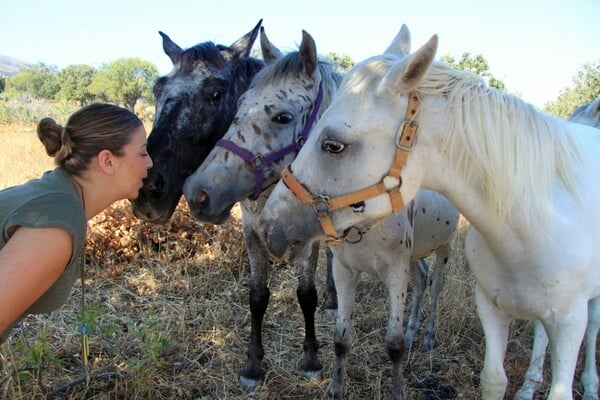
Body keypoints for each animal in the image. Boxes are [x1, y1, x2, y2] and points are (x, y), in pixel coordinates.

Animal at [183, 26, 460, 398]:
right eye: (238, 106)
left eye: (282, 117)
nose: (197, 193)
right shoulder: (258, 236)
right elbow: (259, 296)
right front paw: (253, 366)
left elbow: (308, 295)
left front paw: (310, 360)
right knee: (423, 278)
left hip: (444, 249)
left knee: (435, 286)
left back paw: (427, 335)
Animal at [262, 28, 600, 400]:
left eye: (333, 145)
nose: (268, 227)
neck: (531, 223)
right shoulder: (349, 271)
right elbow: (342, 339)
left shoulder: (568, 321)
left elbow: (394, 344)